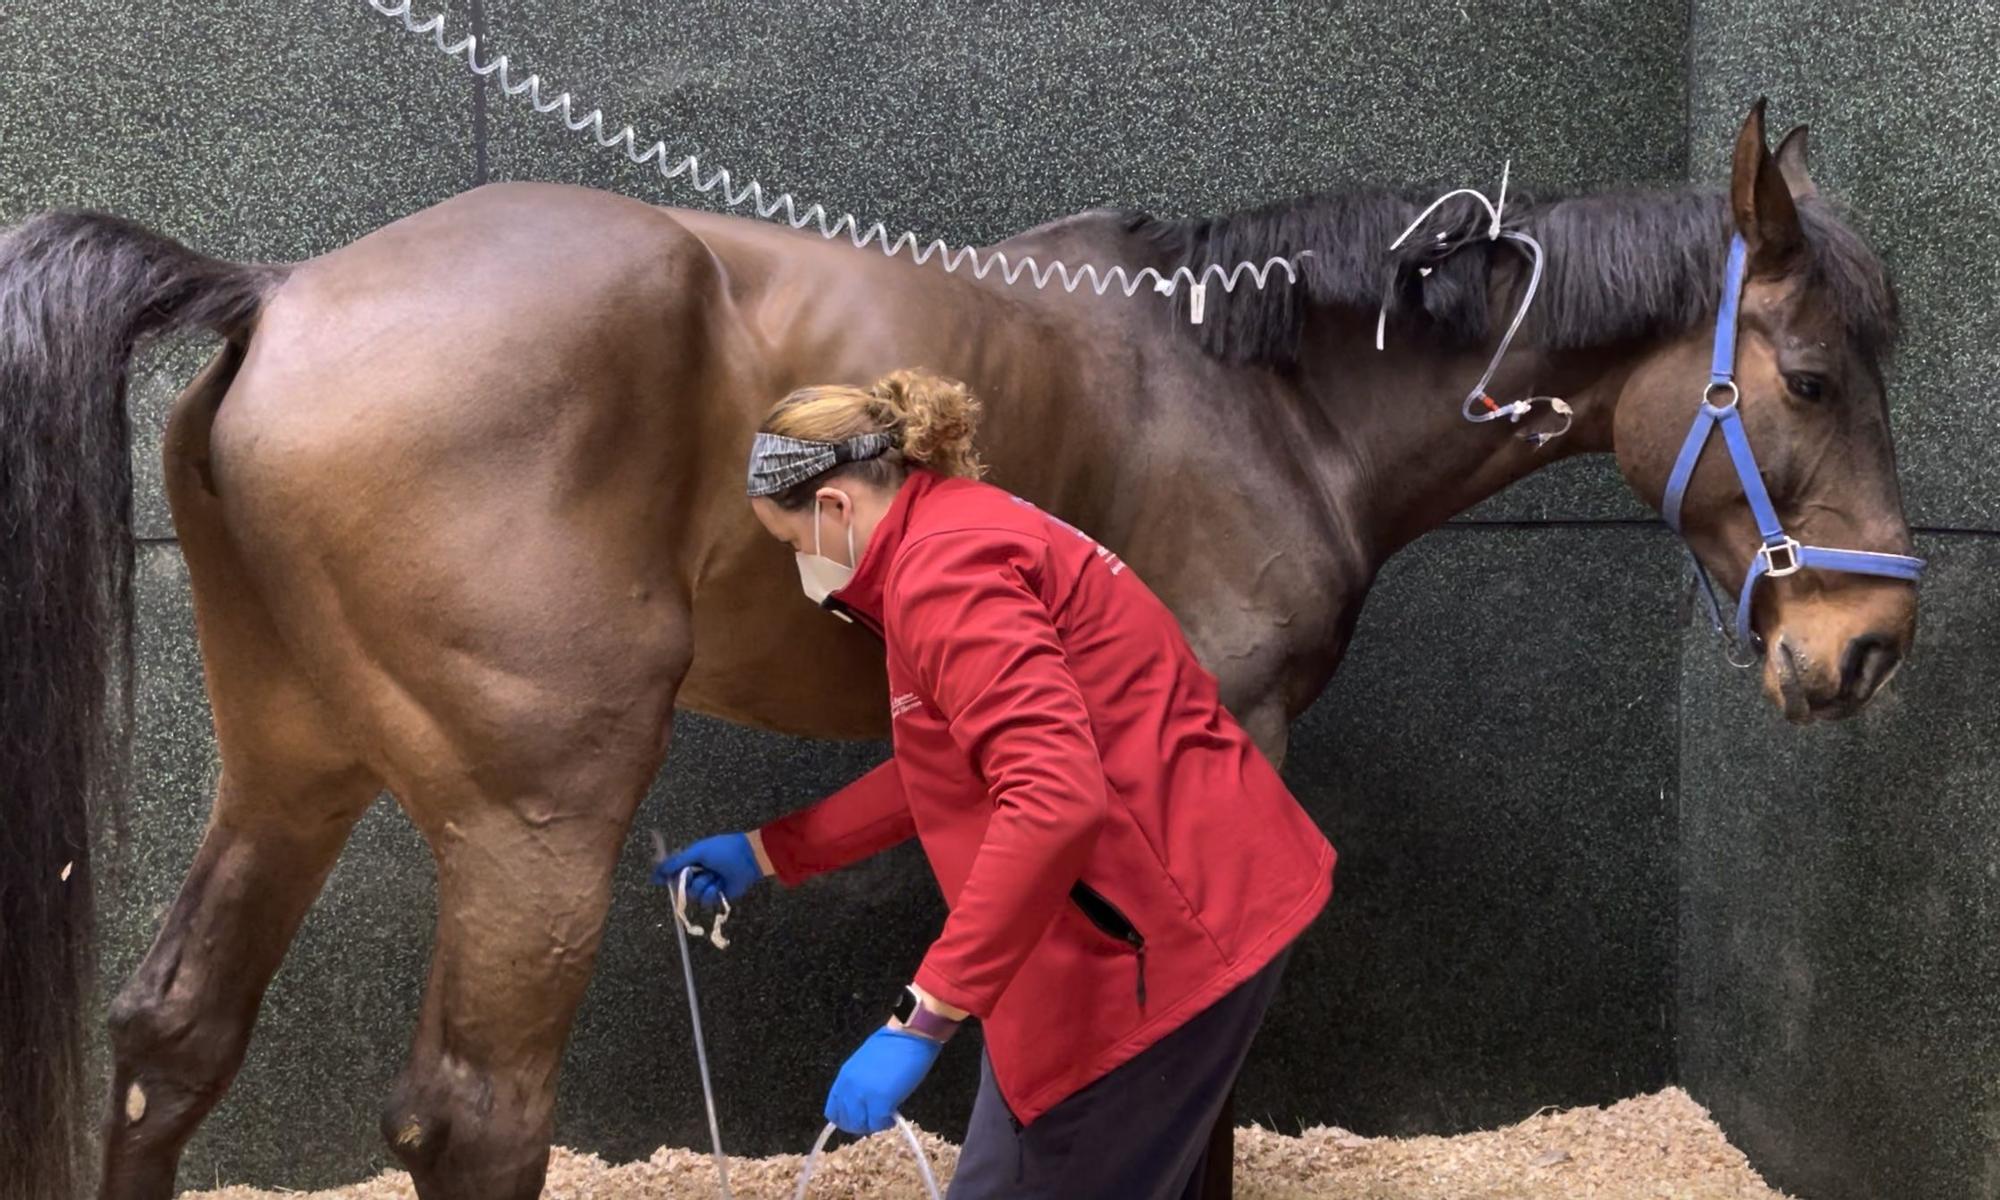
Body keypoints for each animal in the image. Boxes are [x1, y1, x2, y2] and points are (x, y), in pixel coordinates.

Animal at [3, 103, 1920, 1200]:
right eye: (1818, 377)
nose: (1875, 642)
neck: (1255, 392)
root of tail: (279, 297)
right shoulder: (1217, 745)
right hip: (527, 823)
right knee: (472, 1121)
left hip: (292, 769)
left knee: (173, 1036)